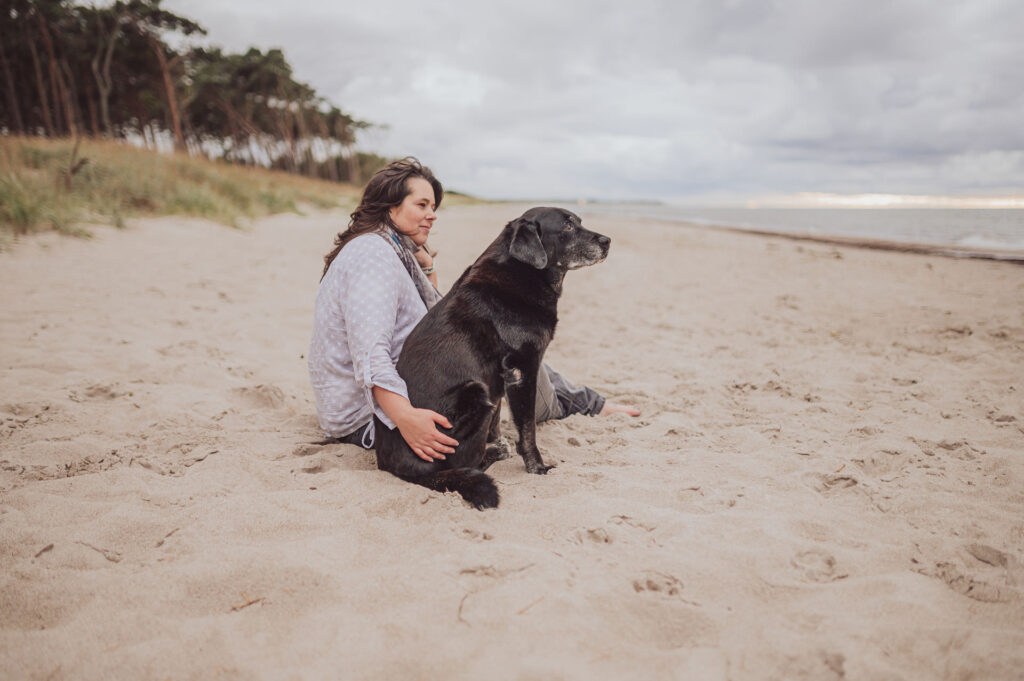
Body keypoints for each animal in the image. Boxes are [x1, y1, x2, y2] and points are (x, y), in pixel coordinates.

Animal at [378, 204, 610, 507]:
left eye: (579, 221)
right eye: (567, 226)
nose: (608, 241)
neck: (525, 273)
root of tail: (393, 466)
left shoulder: (501, 379)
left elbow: (498, 420)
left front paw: (499, 441)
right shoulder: (524, 369)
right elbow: (527, 428)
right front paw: (537, 467)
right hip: (475, 393)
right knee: (465, 463)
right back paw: (492, 456)